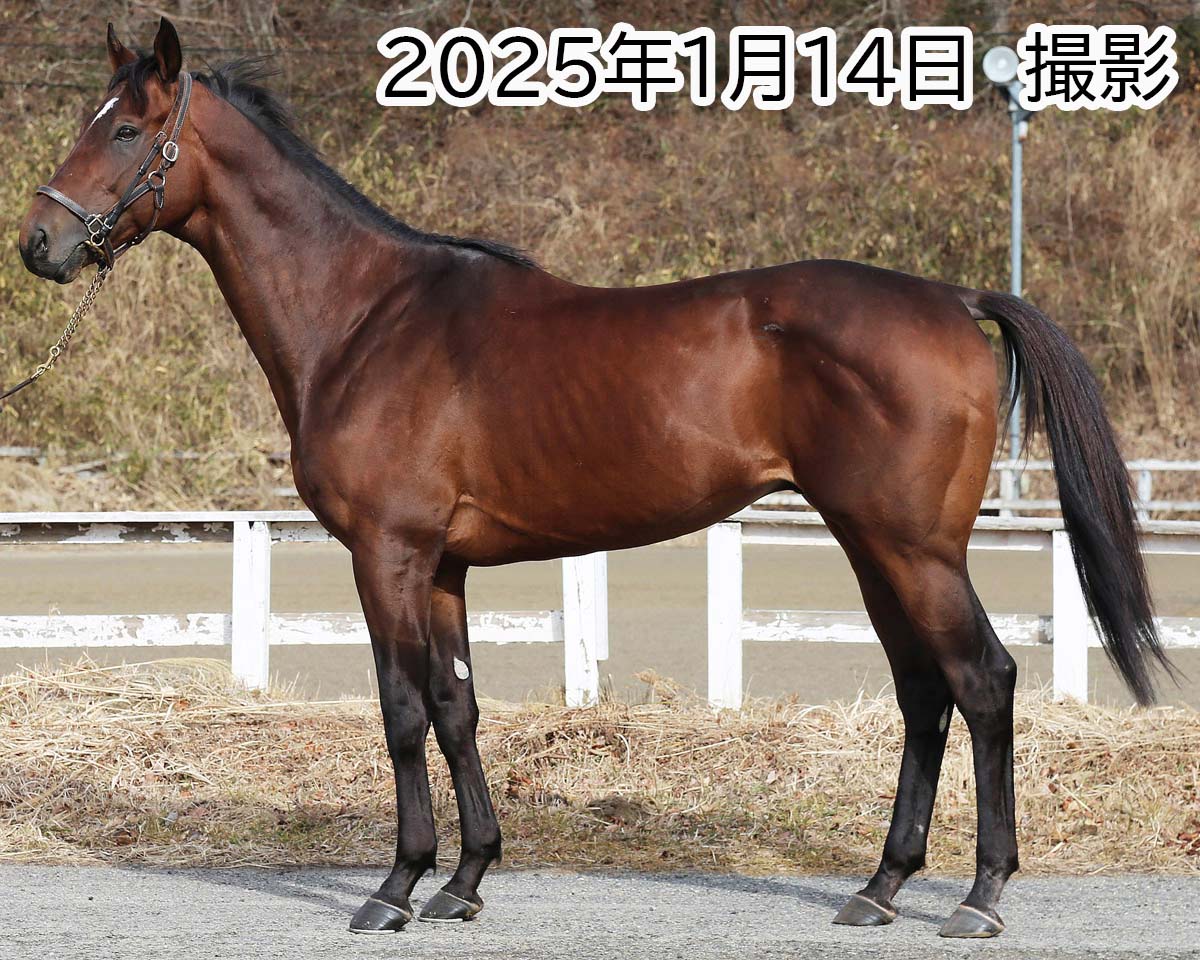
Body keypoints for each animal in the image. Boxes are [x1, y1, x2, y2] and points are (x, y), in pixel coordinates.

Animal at [18, 18, 1172, 940]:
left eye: (125, 131)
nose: (39, 243)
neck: (365, 316)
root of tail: (954, 299)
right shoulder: (443, 567)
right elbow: (457, 707)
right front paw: (466, 879)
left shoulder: (387, 553)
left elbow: (401, 710)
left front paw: (394, 888)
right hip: (871, 544)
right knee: (924, 692)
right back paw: (881, 887)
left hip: (913, 547)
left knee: (983, 682)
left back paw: (979, 897)